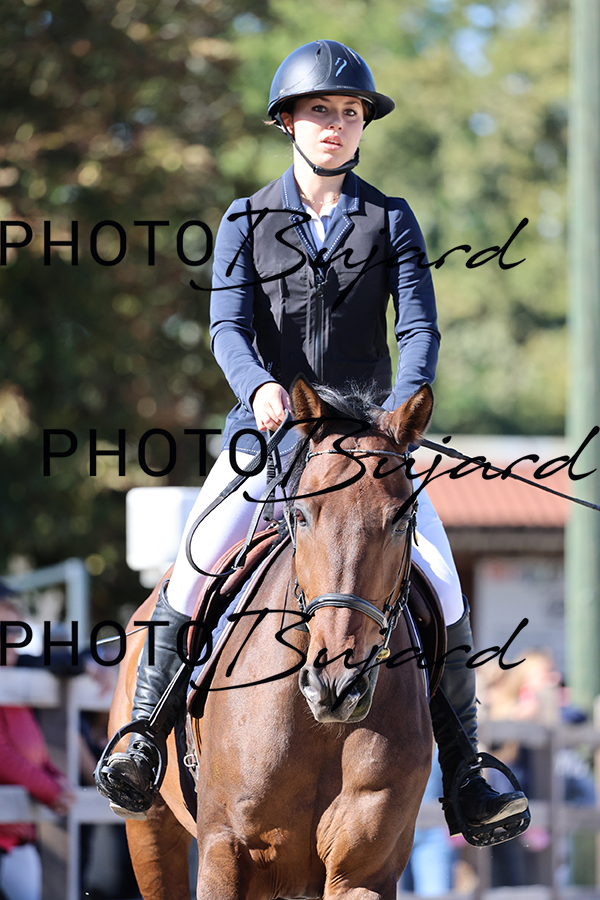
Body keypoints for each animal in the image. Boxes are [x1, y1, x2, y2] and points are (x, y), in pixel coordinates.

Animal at [107, 376, 436, 900]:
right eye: (301, 515)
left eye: (401, 521)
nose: (335, 687)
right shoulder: (225, 853)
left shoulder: (362, 873)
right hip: (151, 830)